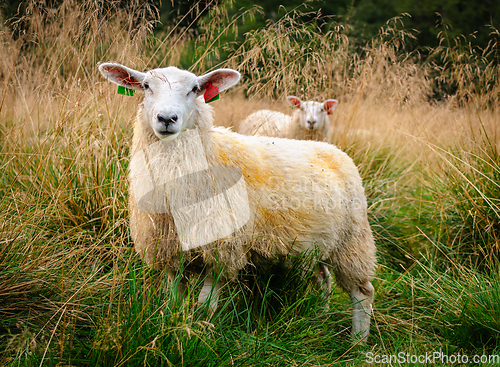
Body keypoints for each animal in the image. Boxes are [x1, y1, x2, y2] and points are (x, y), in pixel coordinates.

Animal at [97, 63, 376, 342]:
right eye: (146, 86)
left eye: (195, 89)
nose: (167, 118)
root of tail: (334, 150)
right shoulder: (169, 249)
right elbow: (175, 300)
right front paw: (174, 329)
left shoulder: (224, 250)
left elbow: (205, 306)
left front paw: (200, 336)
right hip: (317, 244)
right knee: (323, 280)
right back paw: (320, 317)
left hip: (352, 241)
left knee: (363, 292)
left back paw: (357, 342)